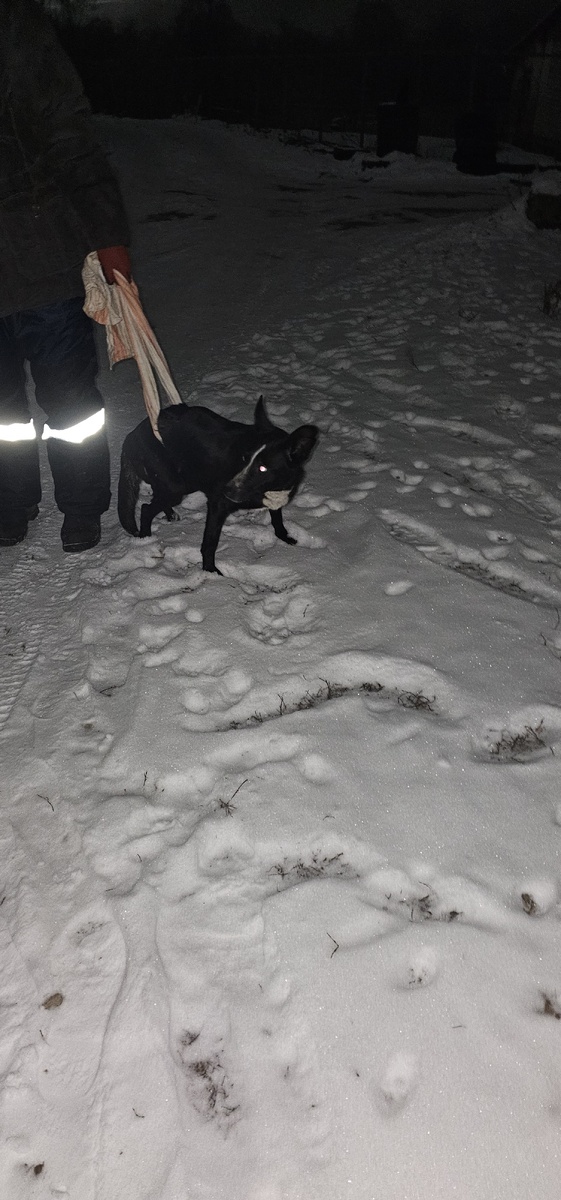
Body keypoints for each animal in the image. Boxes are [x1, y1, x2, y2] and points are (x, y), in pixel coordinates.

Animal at [117, 397, 319, 573]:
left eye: (262, 468)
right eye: (244, 458)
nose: (226, 490)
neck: (269, 489)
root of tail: (133, 434)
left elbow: (277, 519)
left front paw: (285, 536)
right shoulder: (218, 505)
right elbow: (210, 542)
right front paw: (210, 571)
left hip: (184, 481)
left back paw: (169, 515)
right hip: (176, 486)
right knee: (146, 508)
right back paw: (144, 539)